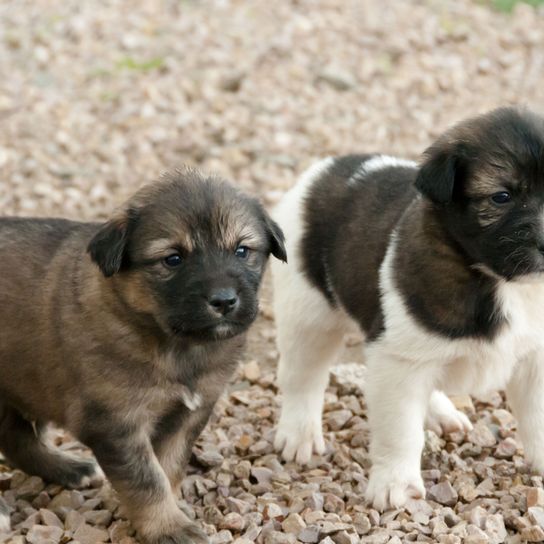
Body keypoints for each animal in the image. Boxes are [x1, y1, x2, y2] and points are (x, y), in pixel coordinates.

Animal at [0, 168, 286, 540]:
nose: (224, 301)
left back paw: (68, 468)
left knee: (16, 438)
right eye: (173, 259)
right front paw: (168, 527)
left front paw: (170, 512)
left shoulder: (187, 416)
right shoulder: (115, 422)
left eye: (241, 250)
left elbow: (168, 467)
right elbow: (147, 480)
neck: (176, 345)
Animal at [272, 109, 544, 510]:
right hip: (308, 318)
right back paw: (299, 434)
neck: (498, 282)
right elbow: (400, 432)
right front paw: (395, 483)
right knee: (302, 377)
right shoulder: (398, 361)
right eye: (502, 197)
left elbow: (537, 418)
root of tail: (324, 170)